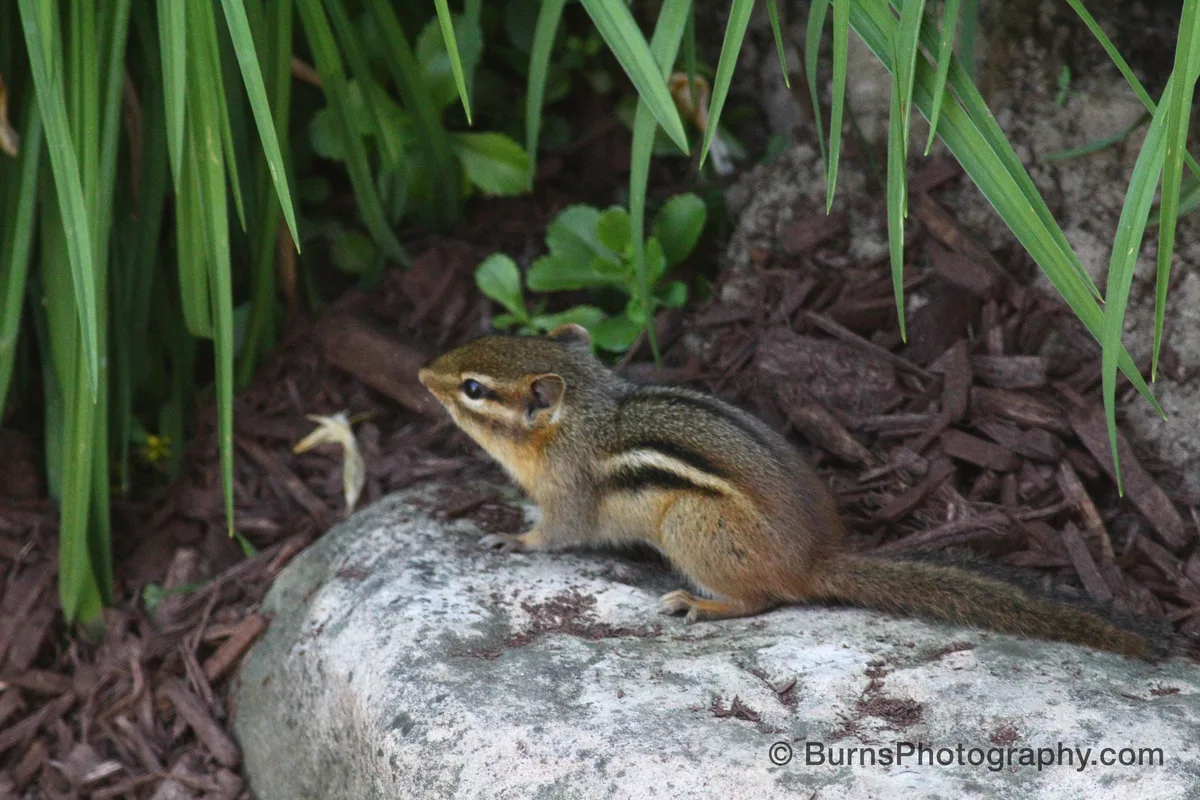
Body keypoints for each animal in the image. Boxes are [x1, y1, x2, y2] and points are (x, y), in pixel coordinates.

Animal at [418, 323, 1149, 659]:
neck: (585, 415)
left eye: (473, 388)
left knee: (761, 601)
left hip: (690, 525)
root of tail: (815, 557)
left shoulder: (571, 492)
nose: (422, 373)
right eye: (487, 336)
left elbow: (558, 534)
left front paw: (510, 537)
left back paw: (700, 604)